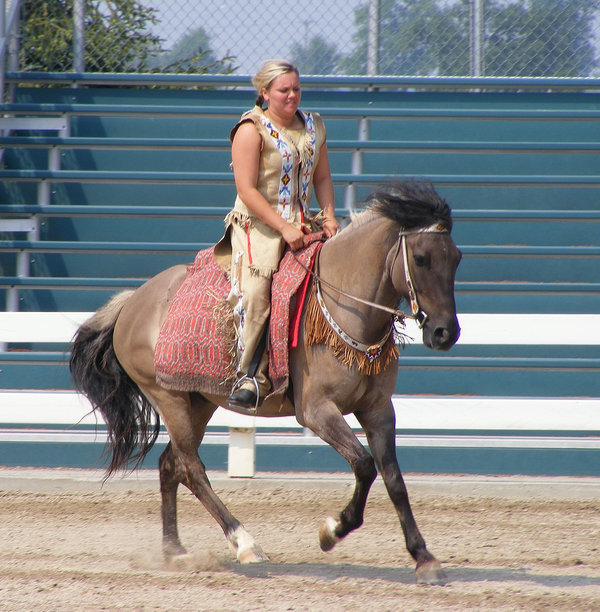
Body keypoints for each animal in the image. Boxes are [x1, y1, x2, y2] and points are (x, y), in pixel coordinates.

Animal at [71, 179, 464, 584]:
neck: (345, 305)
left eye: (456, 258)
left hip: (197, 401)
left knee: (171, 464)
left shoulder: (379, 410)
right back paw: (244, 542)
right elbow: (364, 465)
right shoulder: (317, 412)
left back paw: (175, 551)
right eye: (421, 258)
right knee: (191, 468)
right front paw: (332, 531)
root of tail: (133, 301)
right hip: (168, 398)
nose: (445, 332)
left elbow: (394, 480)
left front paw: (423, 556)